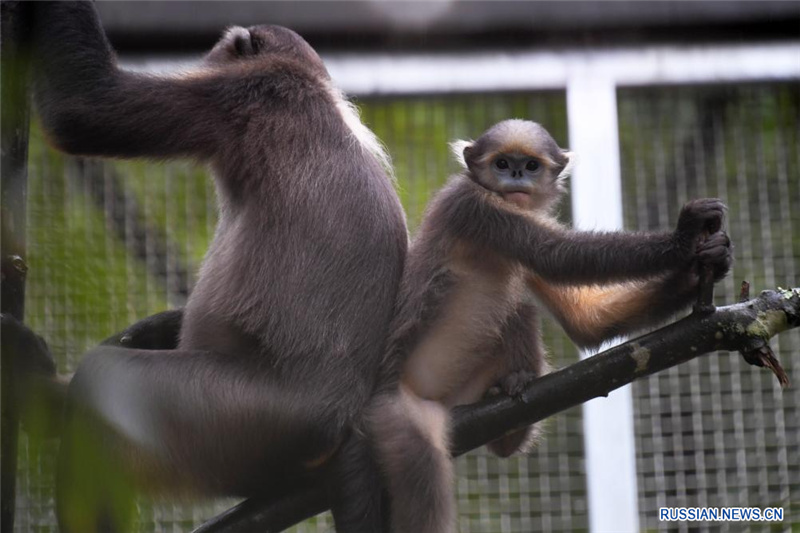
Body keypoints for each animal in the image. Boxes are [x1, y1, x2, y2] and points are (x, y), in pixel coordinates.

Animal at [30, 2, 406, 528]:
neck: (314, 87)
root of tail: (341, 424)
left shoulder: (249, 92)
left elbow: (82, 108)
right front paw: (150, 329)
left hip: (239, 418)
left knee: (103, 380)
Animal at [368, 120, 732, 532]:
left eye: (531, 165)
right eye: (502, 163)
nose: (514, 176)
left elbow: (584, 321)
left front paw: (707, 265)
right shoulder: (474, 206)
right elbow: (559, 255)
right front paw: (684, 235)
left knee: (519, 308)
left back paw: (511, 411)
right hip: (402, 412)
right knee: (424, 478)